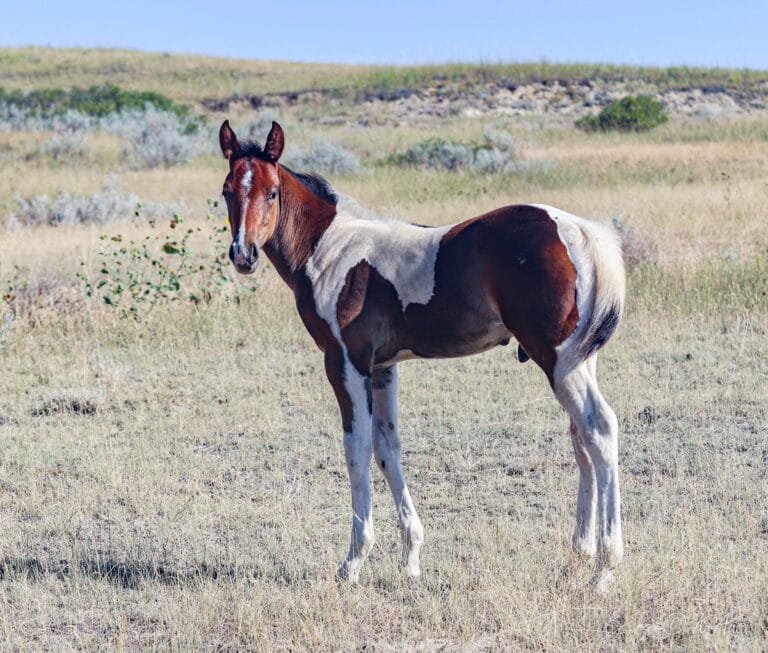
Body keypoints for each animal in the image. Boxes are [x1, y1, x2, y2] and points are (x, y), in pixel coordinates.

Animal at [218, 120, 626, 586]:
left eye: (272, 192)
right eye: (227, 191)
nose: (243, 255)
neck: (328, 250)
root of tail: (581, 231)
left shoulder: (345, 362)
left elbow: (356, 449)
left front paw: (353, 562)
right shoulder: (383, 368)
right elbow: (387, 449)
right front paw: (410, 558)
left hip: (559, 360)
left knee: (600, 429)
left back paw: (604, 570)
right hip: (578, 360)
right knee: (581, 439)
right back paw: (580, 554)